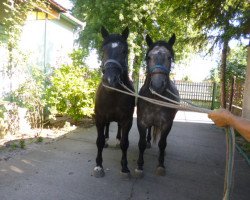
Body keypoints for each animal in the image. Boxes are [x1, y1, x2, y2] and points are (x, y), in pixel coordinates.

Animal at [93, 26, 135, 178]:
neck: (113, 94)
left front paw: (125, 167)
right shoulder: (99, 118)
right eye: (103, 49)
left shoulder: (127, 120)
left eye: (125, 51)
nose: (110, 80)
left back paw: (116, 140)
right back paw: (106, 139)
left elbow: (124, 143)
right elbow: (99, 141)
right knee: (107, 127)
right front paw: (98, 166)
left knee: (118, 128)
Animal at [135, 34, 180, 177]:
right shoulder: (141, 122)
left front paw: (161, 165)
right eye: (148, 57)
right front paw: (139, 166)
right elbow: (141, 143)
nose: (157, 85)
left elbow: (162, 144)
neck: (156, 98)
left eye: (169, 57)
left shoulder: (167, 124)